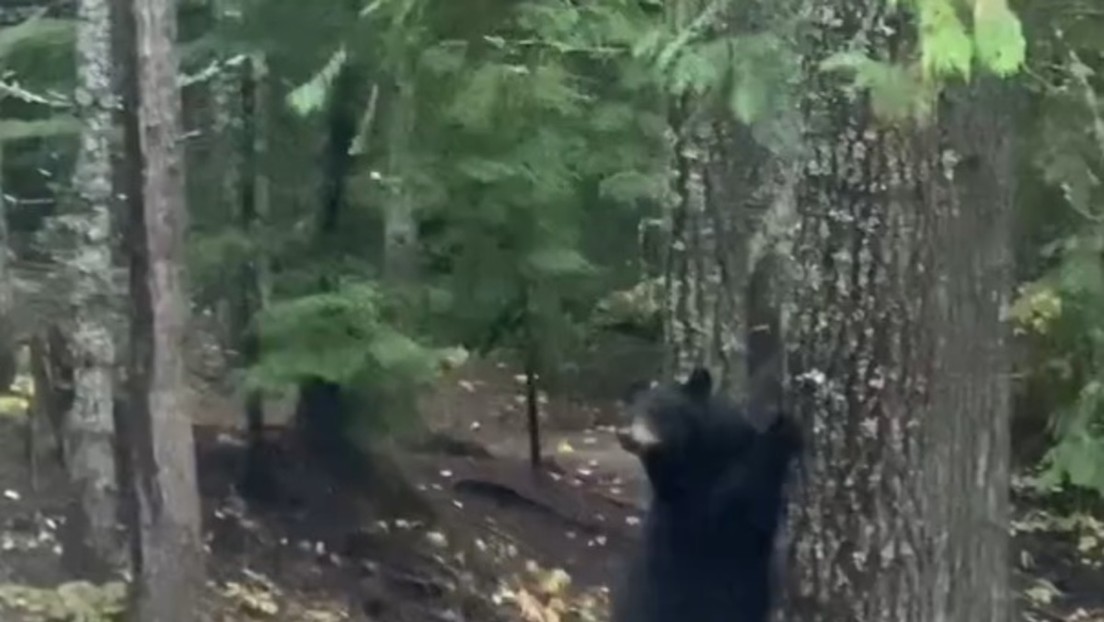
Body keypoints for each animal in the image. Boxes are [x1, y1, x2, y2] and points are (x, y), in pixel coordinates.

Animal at [611, 367, 802, 622]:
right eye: (631, 411)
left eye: (657, 409)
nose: (624, 435)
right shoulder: (692, 503)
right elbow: (737, 503)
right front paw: (784, 430)